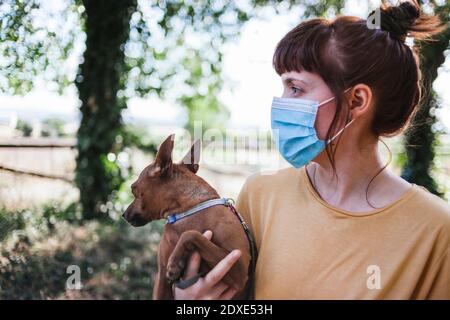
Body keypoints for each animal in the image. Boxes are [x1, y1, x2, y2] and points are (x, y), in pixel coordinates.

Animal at [123, 134, 256, 298]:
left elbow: (190, 234)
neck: (189, 209)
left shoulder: (238, 266)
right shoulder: (161, 279)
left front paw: (175, 263)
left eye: (133, 190)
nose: (123, 214)